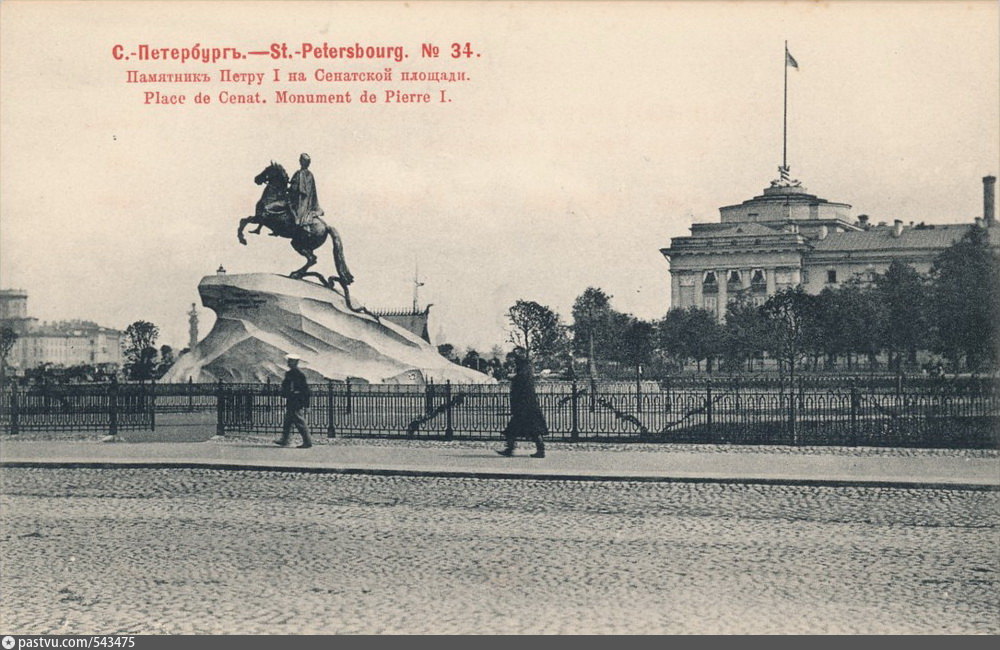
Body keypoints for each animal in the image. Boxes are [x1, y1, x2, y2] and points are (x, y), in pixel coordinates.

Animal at [236, 159, 376, 316]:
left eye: (267, 169)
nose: (256, 179)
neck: (275, 197)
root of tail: (327, 227)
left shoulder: (261, 217)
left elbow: (243, 221)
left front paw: (242, 238)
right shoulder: (260, 219)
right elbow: (245, 220)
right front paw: (252, 233)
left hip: (297, 244)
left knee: (312, 259)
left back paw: (296, 274)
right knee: (312, 259)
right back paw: (301, 275)